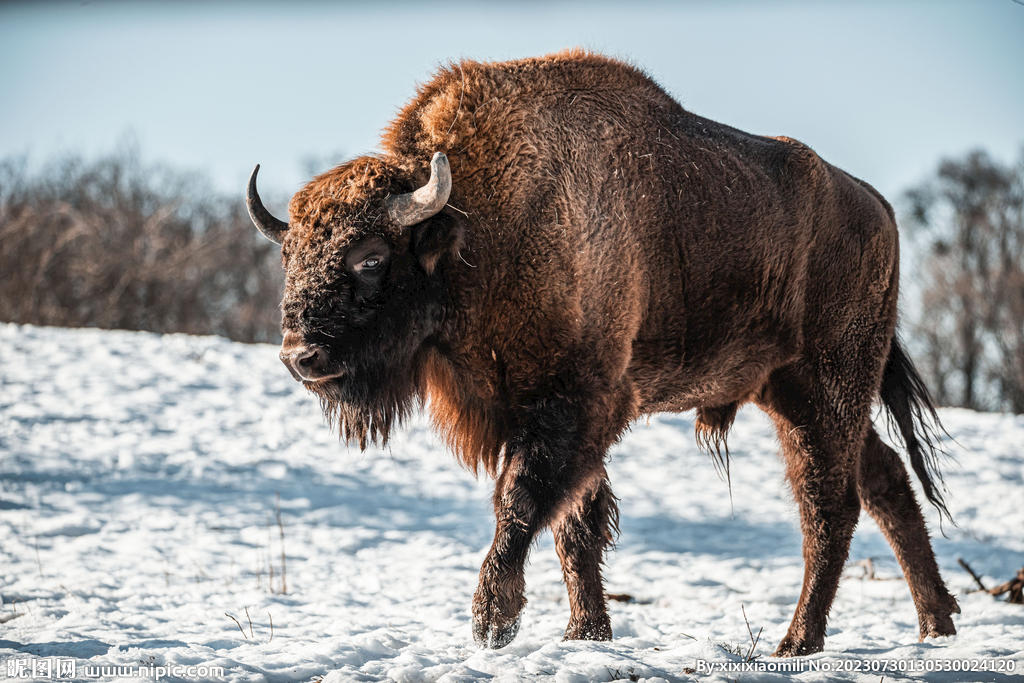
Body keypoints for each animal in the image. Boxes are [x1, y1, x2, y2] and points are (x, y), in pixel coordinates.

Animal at [247, 49, 958, 655]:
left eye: (370, 258)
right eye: (290, 256)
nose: (300, 356)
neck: (478, 228)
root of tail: (878, 209)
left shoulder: (574, 404)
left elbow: (524, 502)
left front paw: (493, 623)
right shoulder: (543, 413)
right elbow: (577, 525)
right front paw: (584, 634)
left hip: (825, 389)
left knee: (829, 507)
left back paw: (799, 643)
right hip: (795, 394)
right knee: (883, 482)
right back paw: (936, 624)